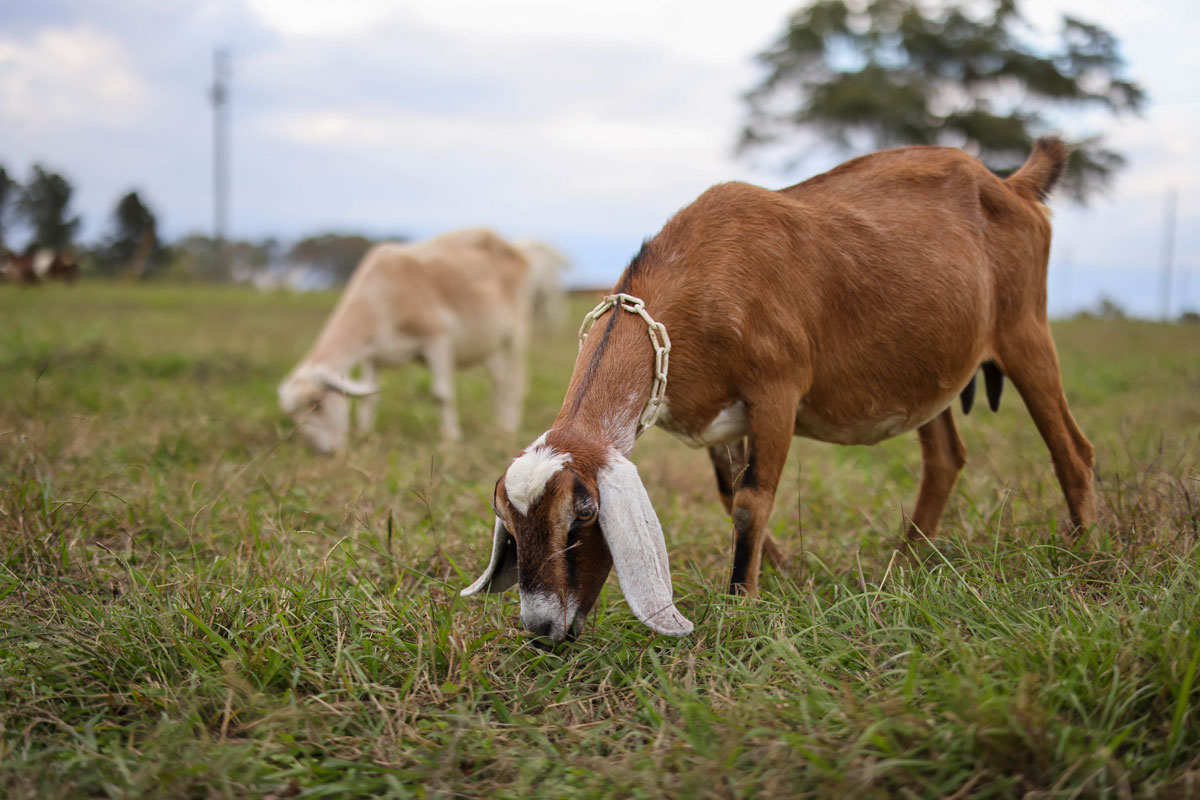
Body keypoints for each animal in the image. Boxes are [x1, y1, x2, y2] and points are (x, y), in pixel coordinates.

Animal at [279, 228, 530, 452]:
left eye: (316, 404)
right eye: (293, 416)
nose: (325, 452)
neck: (381, 294)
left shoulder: (437, 339)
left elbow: (442, 394)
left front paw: (450, 438)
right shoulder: (372, 356)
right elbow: (369, 399)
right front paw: (365, 435)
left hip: (516, 331)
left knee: (514, 381)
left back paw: (510, 428)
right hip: (487, 345)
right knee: (499, 380)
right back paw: (498, 426)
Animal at [461, 138, 1097, 644]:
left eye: (585, 514)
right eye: (508, 522)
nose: (543, 629)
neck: (702, 273)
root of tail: (1010, 183)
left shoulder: (777, 392)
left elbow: (750, 502)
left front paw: (742, 602)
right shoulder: (719, 421)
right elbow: (728, 495)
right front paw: (785, 572)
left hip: (1025, 328)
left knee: (1073, 449)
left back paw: (1085, 558)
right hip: (929, 368)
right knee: (946, 456)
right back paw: (904, 562)